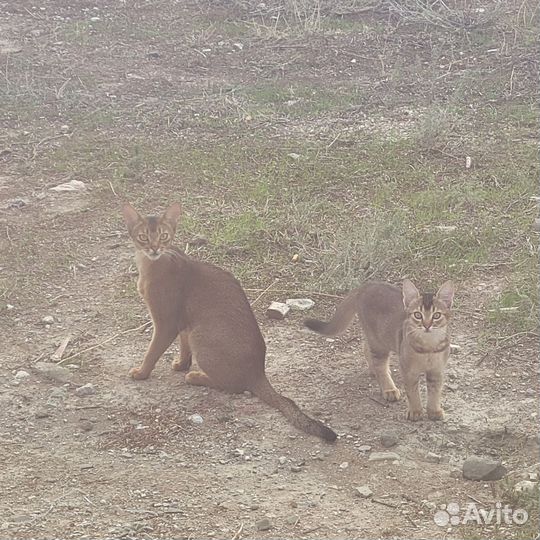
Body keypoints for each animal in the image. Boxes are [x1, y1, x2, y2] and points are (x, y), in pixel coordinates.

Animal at [122, 202, 338, 442]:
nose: (154, 249)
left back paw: (195, 376)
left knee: (233, 386)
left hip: (201, 335)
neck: (149, 266)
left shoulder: (166, 323)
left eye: (164, 236)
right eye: (143, 237)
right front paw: (180, 363)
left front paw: (141, 373)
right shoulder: (184, 323)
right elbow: (183, 347)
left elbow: (152, 352)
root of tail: (258, 372)